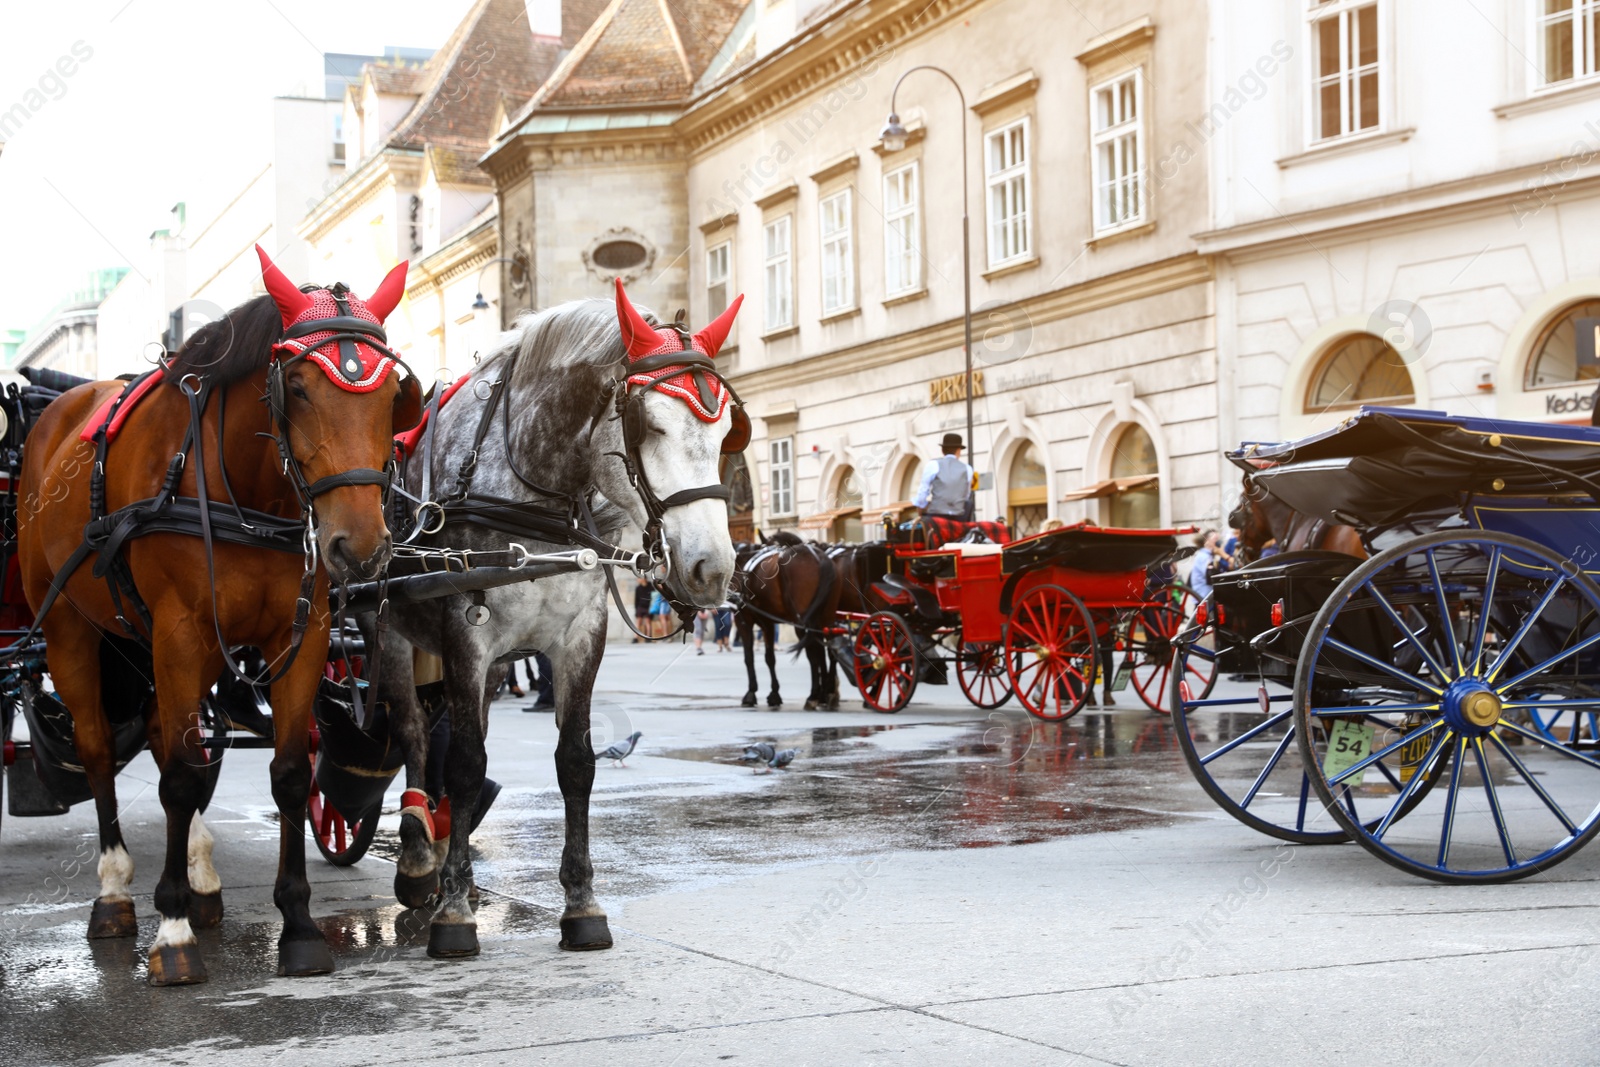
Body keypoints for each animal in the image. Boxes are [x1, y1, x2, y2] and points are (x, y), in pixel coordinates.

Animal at [18, 247, 419, 985]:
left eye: (390, 397)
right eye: (298, 389)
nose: (361, 546)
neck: (253, 494)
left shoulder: (300, 635)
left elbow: (286, 773)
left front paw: (297, 925)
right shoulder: (179, 630)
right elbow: (176, 776)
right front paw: (171, 930)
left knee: (169, 737)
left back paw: (200, 875)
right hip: (72, 629)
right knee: (100, 750)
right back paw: (116, 891)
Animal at [732, 531, 844, 710]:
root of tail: (821, 558)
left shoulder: (744, 620)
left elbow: (750, 657)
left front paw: (751, 693)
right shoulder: (767, 623)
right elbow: (770, 658)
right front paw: (774, 694)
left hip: (803, 622)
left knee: (813, 654)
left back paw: (814, 695)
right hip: (826, 616)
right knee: (830, 648)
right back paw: (828, 692)